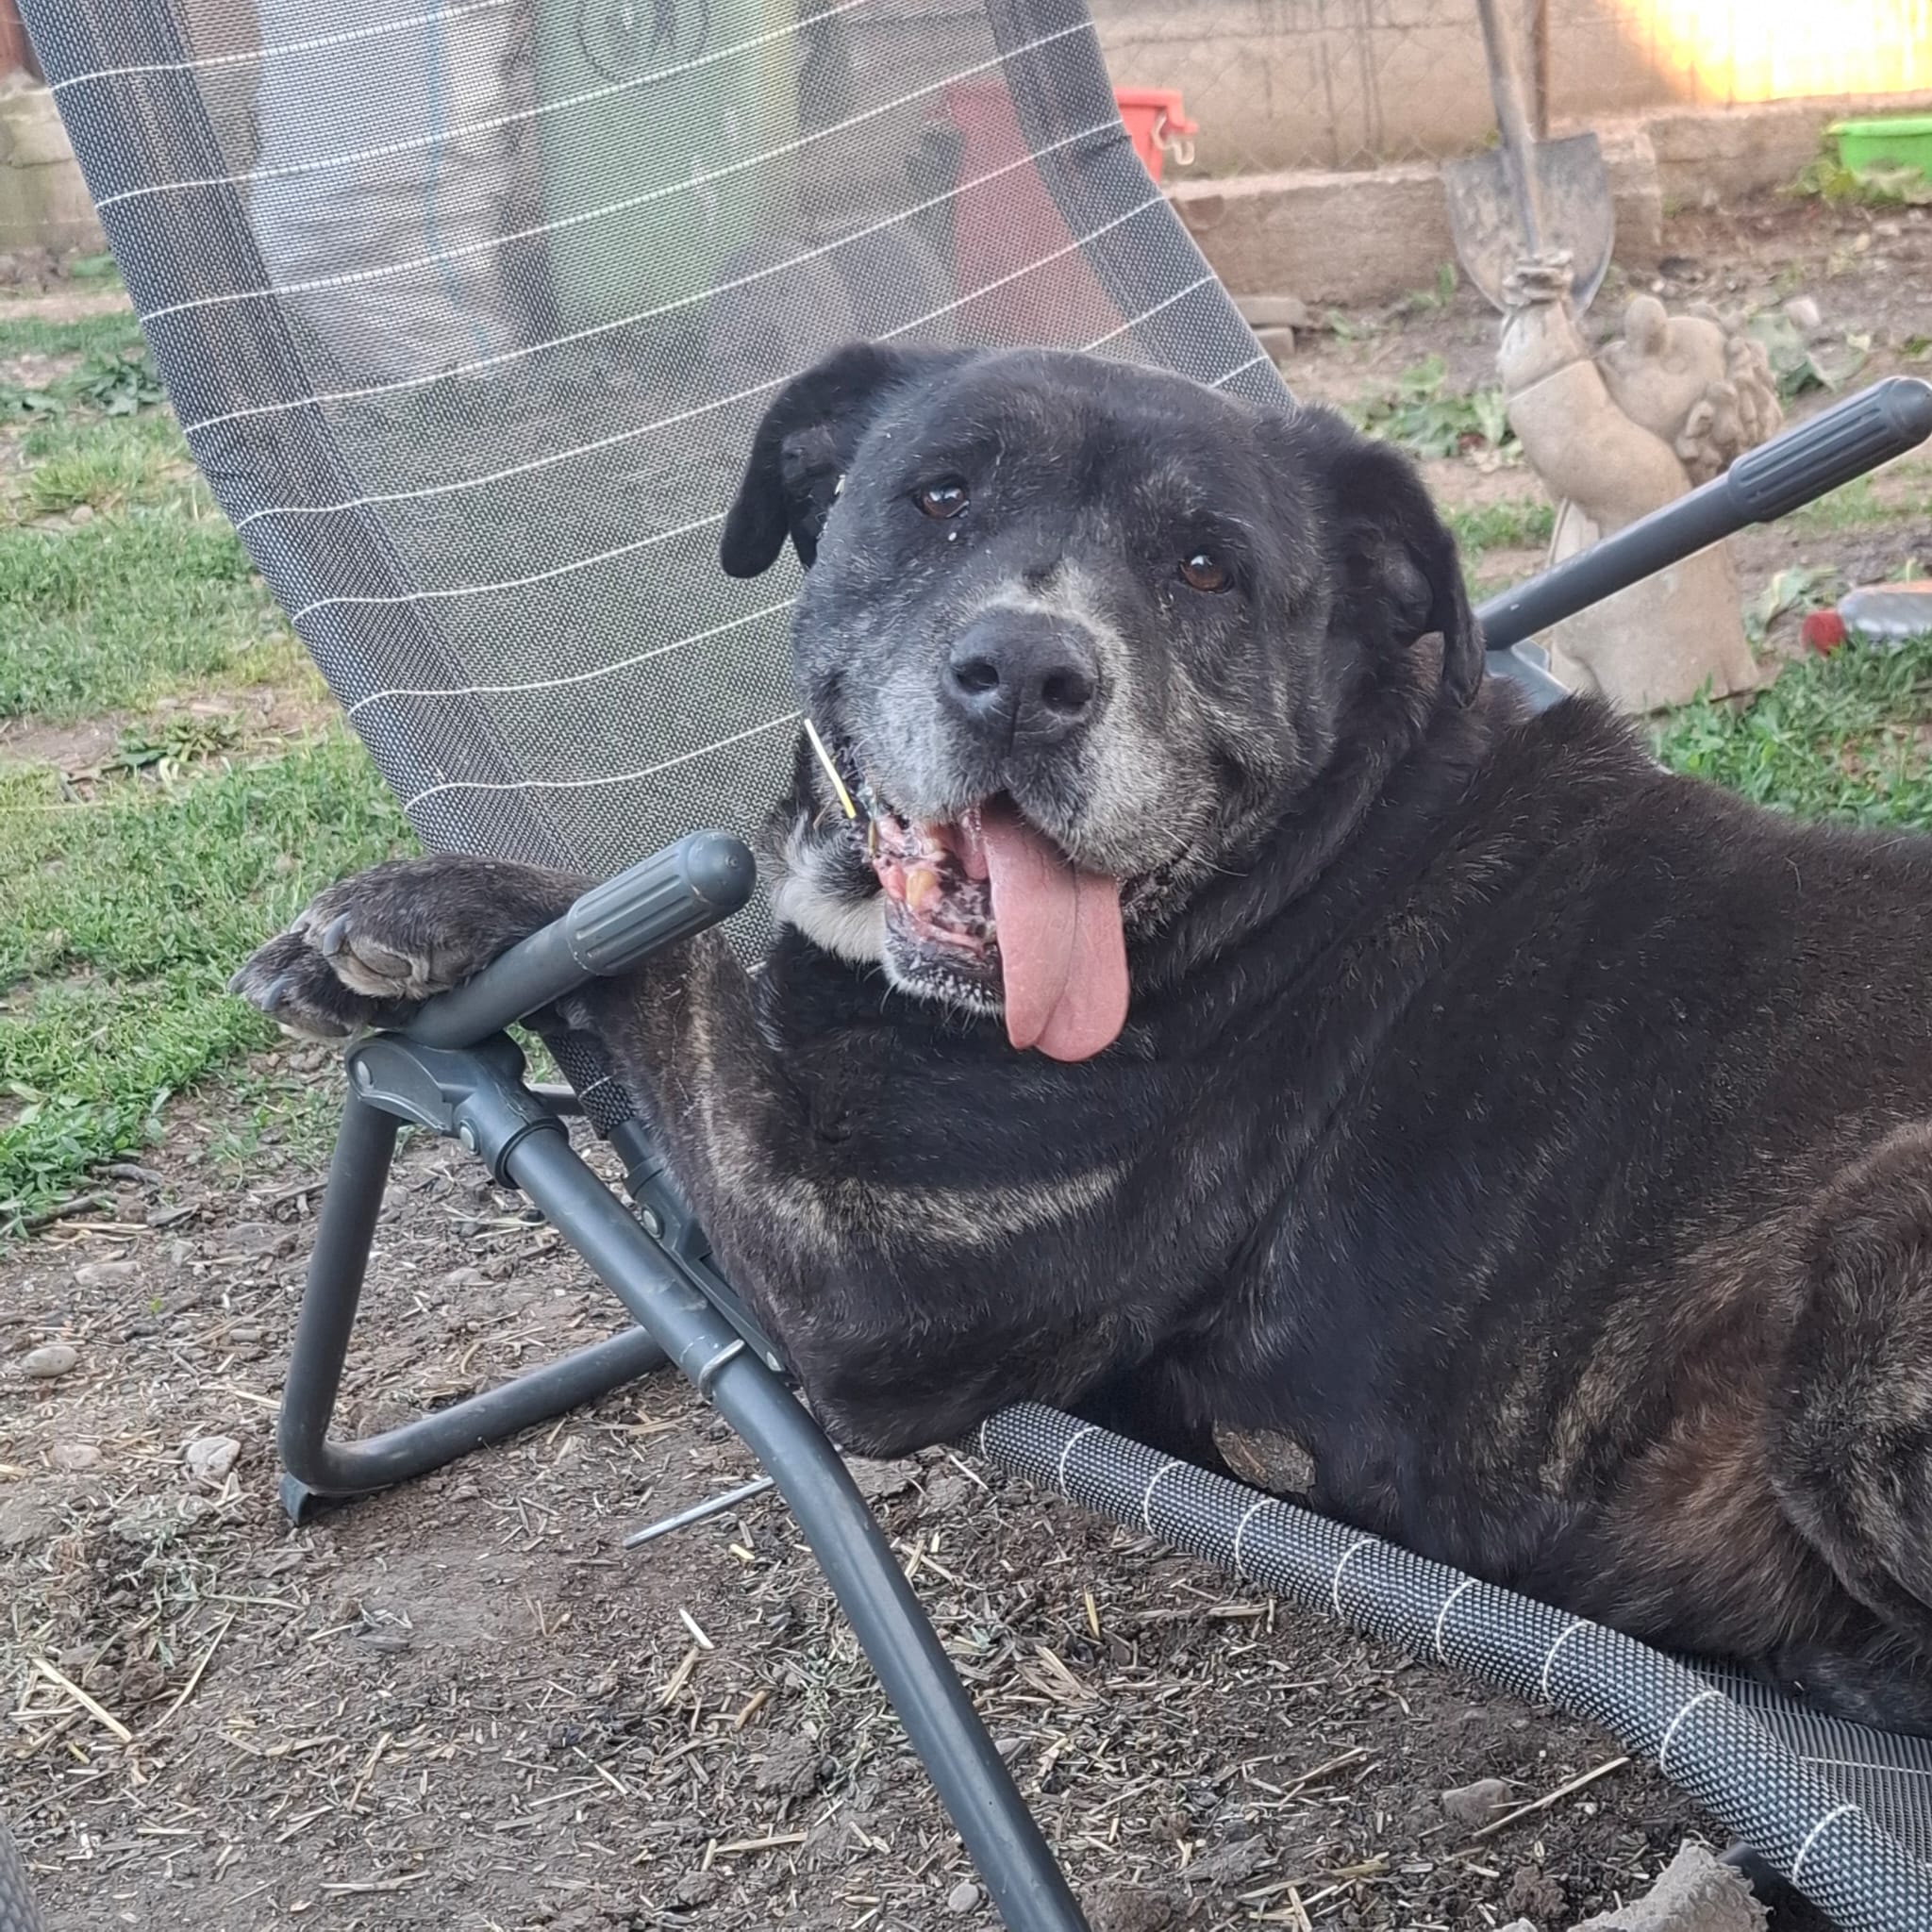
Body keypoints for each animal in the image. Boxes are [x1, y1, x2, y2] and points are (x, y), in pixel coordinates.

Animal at [236, 343, 1932, 1733]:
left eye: (1208, 568)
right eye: (934, 496)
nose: (1026, 674)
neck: (1322, 842)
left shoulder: (864, 1259)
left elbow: (679, 969)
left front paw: (434, 904)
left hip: (1871, 1259)